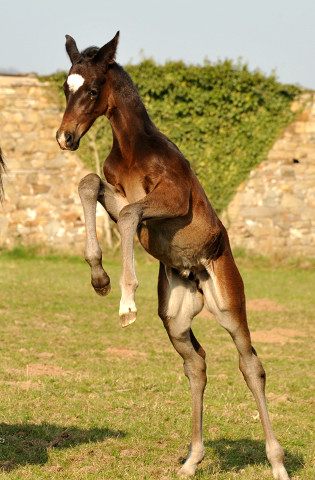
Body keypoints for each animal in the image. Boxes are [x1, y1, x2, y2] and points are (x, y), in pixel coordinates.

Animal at [57, 31, 292, 478]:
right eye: (65, 87)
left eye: (92, 89)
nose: (65, 137)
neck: (134, 149)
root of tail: (197, 276)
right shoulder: (118, 193)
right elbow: (89, 183)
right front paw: (99, 277)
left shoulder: (174, 200)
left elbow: (129, 215)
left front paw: (126, 301)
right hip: (176, 317)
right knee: (196, 365)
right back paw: (191, 460)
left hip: (230, 306)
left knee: (251, 365)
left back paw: (277, 463)